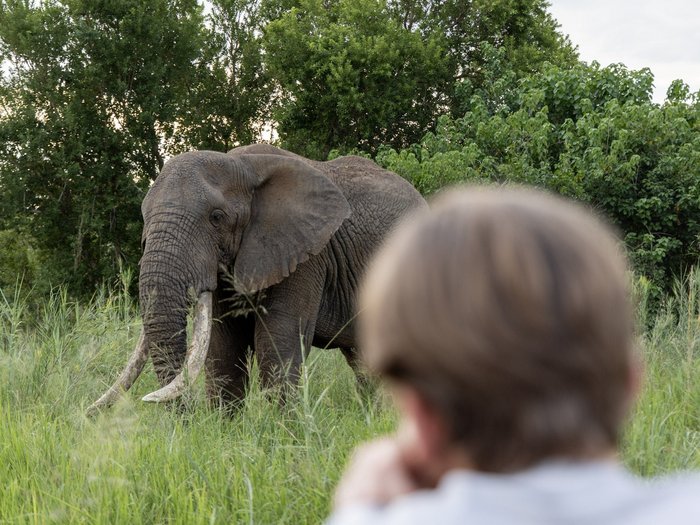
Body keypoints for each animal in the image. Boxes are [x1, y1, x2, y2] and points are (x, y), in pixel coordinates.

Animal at [88, 144, 427, 413]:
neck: (242, 165)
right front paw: (225, 430)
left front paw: (284, 434)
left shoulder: (305, 256)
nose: (187, 419)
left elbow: (276, 341)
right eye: (144, 217)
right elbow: (223, 347)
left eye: (216, 218)